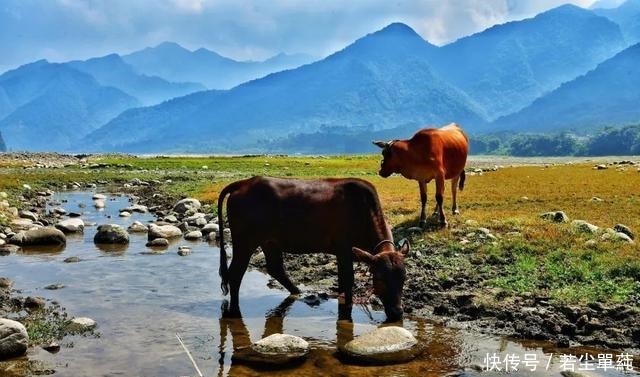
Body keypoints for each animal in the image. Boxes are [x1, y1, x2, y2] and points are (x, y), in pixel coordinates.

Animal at [218, 176, 410, 320]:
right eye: (380, 278)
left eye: (403, 278)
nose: (397, 313)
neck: (362, 211)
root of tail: (245, 183)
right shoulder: (343, 250)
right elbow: (347, 281)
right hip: (245, 241)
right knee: (235, 274)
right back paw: (235, 311)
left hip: (269, 241)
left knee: (275, 268)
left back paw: (299, 293)